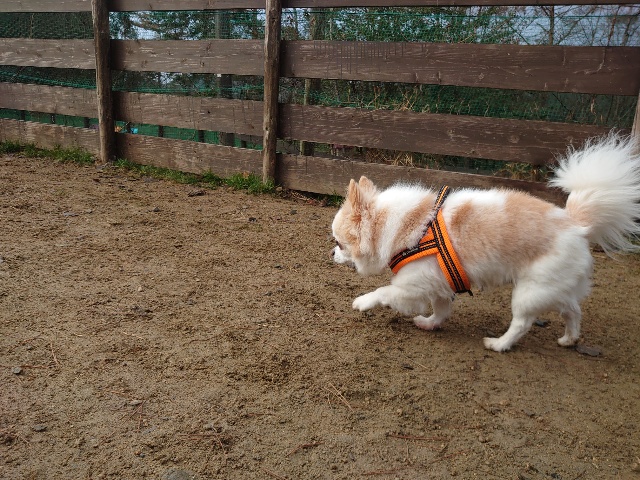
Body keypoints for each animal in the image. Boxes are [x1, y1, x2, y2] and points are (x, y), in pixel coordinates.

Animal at [331, 134, 640, 351]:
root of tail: (576, 223)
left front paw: (362, 302)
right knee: (573, 310)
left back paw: (499, 344)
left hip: (530, 291)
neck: (407, 225)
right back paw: (569, 339)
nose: (331, 252)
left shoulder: (412, 287)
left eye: (340, 243)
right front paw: (430, 324)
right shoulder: (439, 285)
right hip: (553, 288)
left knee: (522, 323)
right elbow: (441, 310)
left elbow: (383, 292)